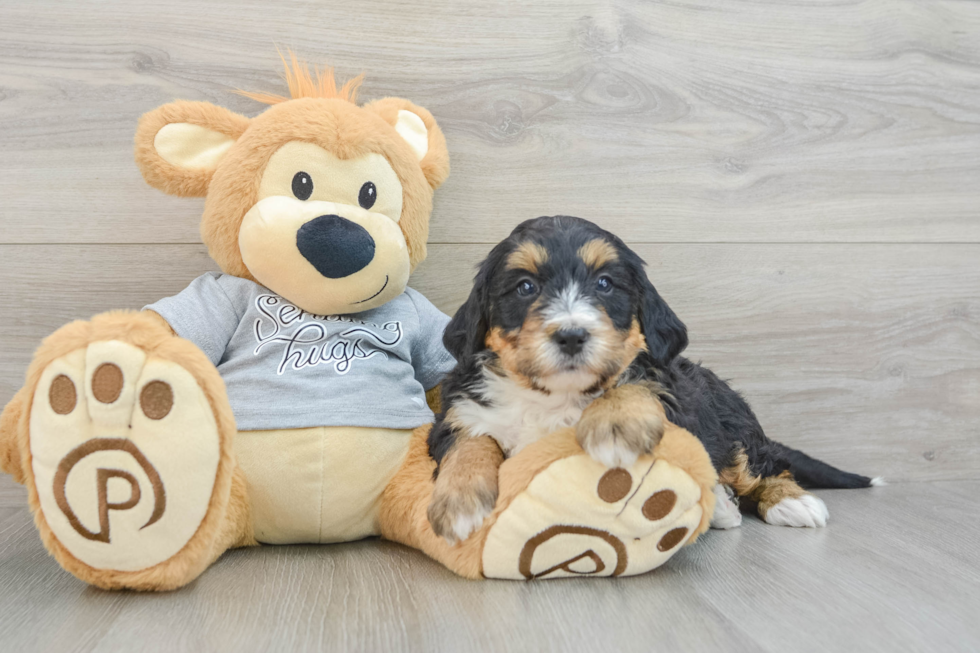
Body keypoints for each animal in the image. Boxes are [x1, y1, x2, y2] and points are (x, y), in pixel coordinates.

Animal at [424, 216, 876, 544]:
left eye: (605, 283)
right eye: (524, 286)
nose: (571, 335)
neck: (556, 395)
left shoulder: (671, 393)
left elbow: (636, 381)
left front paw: (614, 426)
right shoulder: (460, 410)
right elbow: (470, 442)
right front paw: (459, 501)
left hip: (733, 425)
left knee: (760, 466)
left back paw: (791, 502)